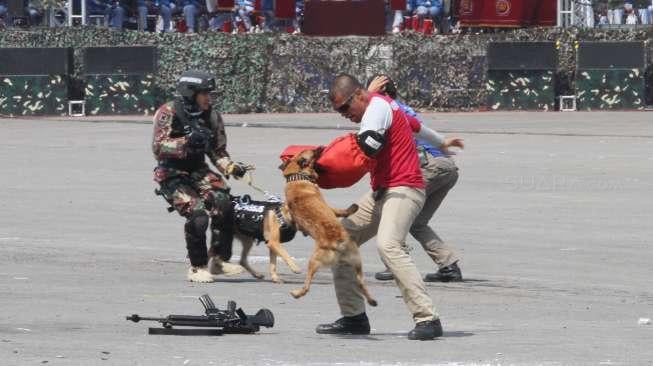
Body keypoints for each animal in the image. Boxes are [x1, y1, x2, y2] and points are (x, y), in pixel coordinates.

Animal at [278, 149, 376, 306]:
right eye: (313, 152)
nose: (320, 147)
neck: (296, 176)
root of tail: (337, 242)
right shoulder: (330, 208)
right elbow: (342, 211)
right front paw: (352, 208)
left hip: (354, 261)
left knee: (360, 283)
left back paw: (372, 301)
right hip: (318, 261)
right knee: (307, 286)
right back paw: (297, 293)